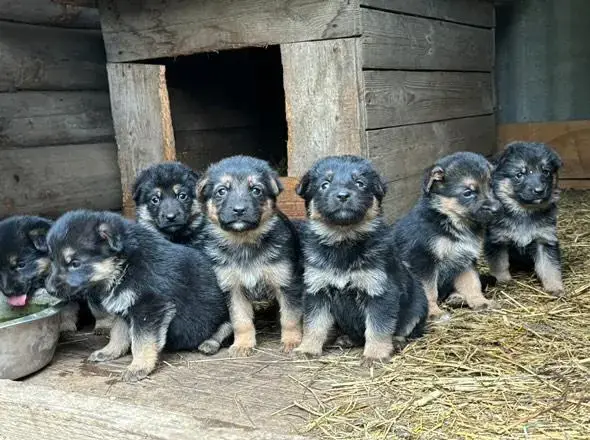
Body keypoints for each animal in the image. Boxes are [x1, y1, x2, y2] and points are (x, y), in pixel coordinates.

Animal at [45, 211, 231, 382]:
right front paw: (109, 351)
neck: (124, 265)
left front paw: (138, 366)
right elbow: (118, 333)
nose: (49, 289)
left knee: (226, 327)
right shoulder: (124, 307)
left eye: (75, 263)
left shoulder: (150, 308)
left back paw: (210, 343)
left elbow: (141, 341)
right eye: (52, 260)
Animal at [198, 155, 302, 358]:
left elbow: (290, 316)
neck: (244, 242)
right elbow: (240, 321)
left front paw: (292, 341)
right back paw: (210, 343)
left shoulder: (286, 284)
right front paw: (243, 344)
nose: (239, 210)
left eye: (256, 190)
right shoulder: (232, 289)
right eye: (221, 191)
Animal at [294, 156, 426, 366]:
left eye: (360, 183)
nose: (342, 196)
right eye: (324, 184)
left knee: (406, 328)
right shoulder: (316, 291)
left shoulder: (380, 292)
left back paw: (396, 342)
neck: (343, 241)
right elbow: (313, 324)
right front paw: (307, 348)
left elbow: (378, 328)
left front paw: (375, 354)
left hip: (419, 305)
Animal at [396, 152, 502, 320]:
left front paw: (480, 301)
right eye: (468, 193)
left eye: (490, 185)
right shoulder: (422, 261)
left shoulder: (465, 259)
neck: (450, 220)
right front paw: (433, 312)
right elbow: (429, 291)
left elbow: (472, 283)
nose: (498, 209)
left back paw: (457, 298)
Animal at [488, 141, 568, 296]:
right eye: (520, 174)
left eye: (546, 172)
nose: (539, 191)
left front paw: (555, 287)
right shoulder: (498, 240)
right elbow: (500, 264)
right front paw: (503, 280)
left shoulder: (545, 240)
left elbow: (550, 267)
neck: (524, 211)